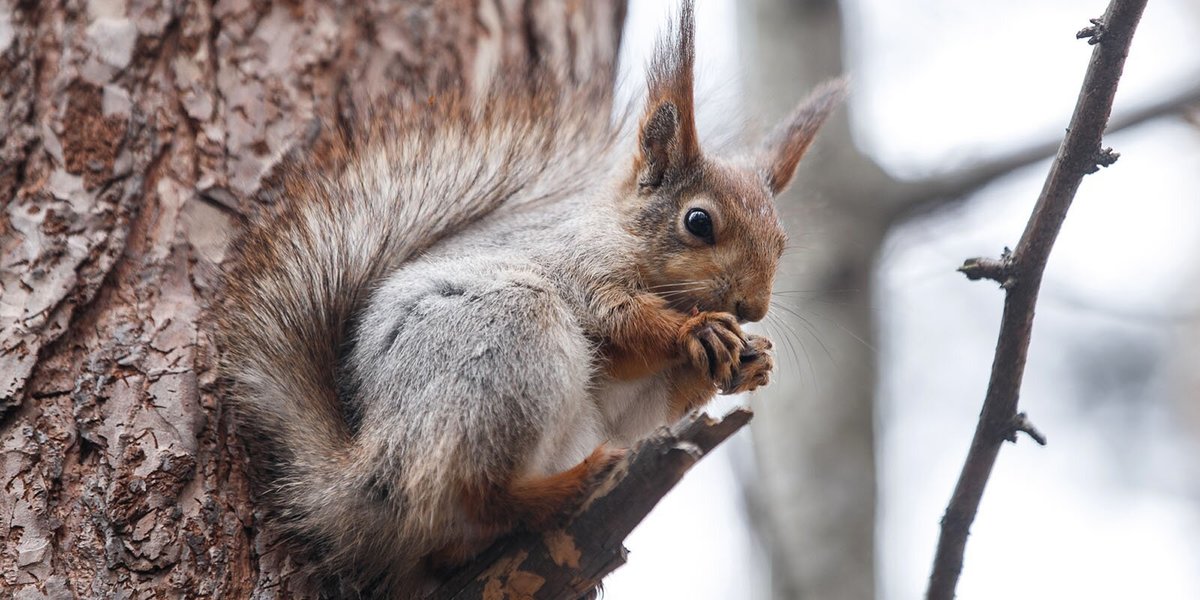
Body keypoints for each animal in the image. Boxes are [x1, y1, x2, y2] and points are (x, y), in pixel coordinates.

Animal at [218, 2, 844, 597]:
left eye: (782, 241)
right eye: (698, 222)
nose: (752, 307)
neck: (620, 237)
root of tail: (370, 471)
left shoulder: (627, 397)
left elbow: (643, 408)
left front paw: (751, 361)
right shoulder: (578, 270)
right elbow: (622, 322)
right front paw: (696, 333)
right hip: (505, 347)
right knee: (476, 495)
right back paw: (569, 487)